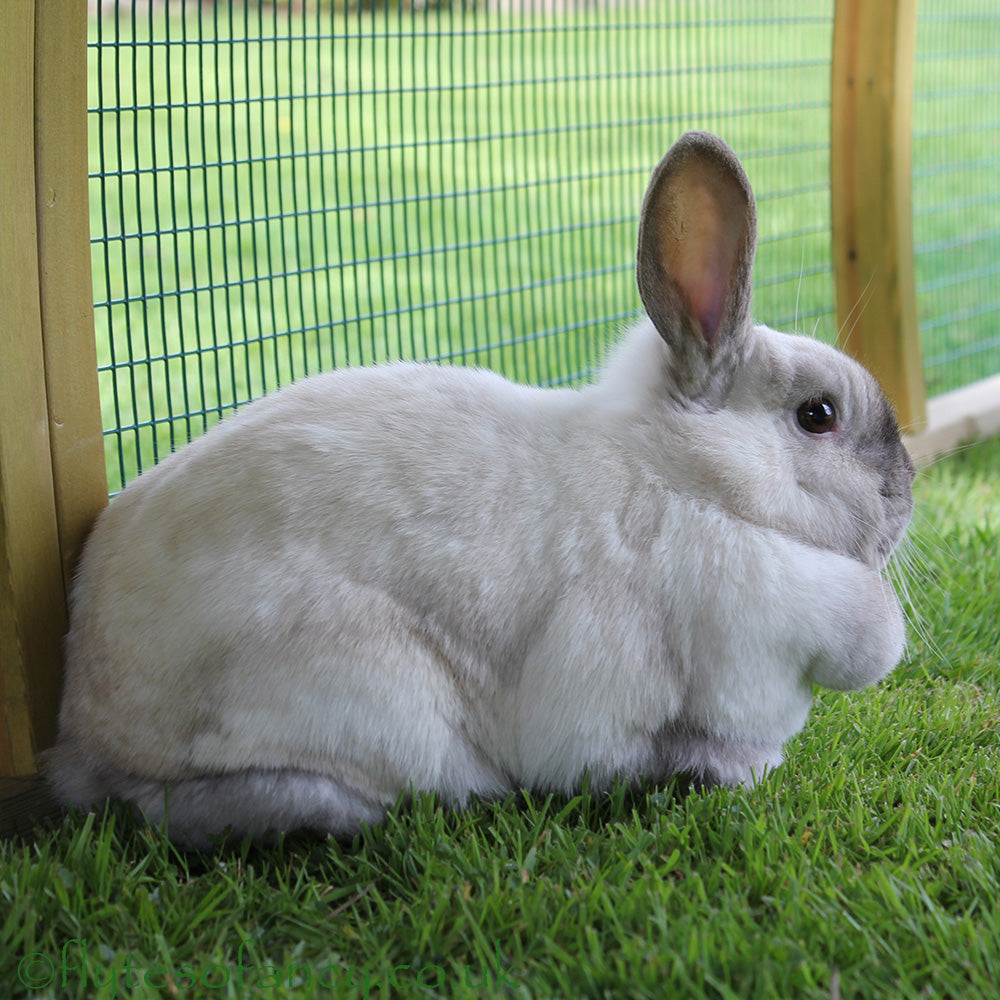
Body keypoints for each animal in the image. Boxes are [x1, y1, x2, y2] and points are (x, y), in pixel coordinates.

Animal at [47, 133, 916, 848]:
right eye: (818, 415)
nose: (905, 494)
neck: (694, 483)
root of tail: (81, 724)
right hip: (363, 699)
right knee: (173, 808)